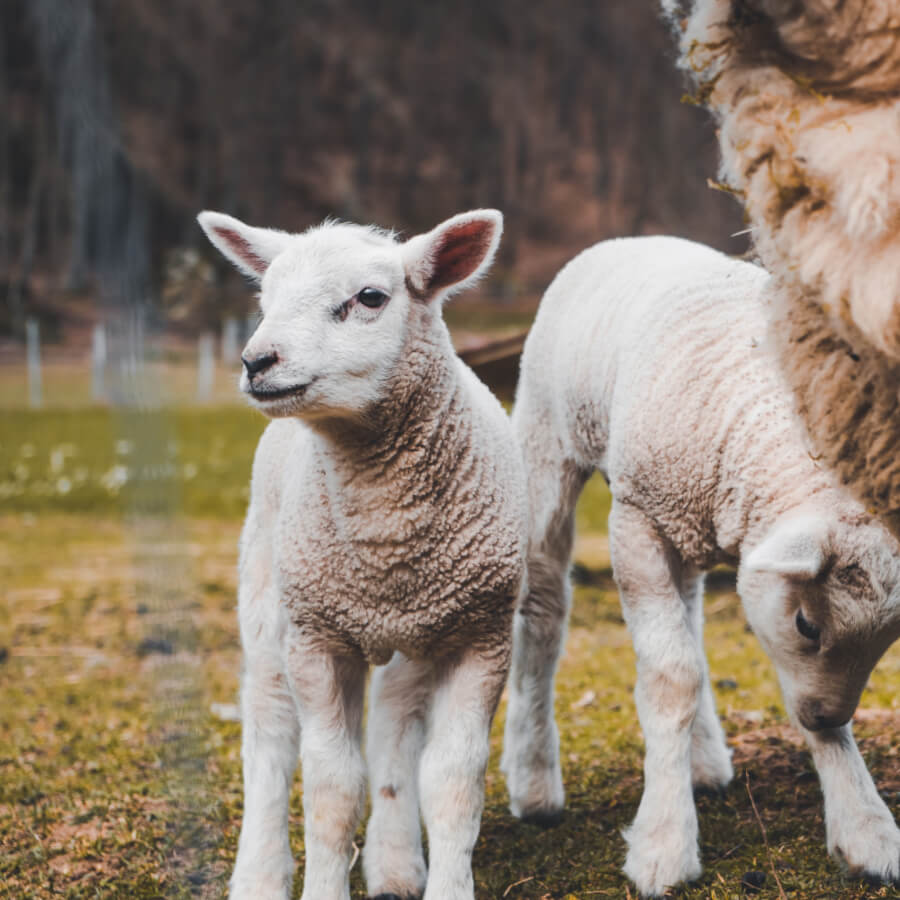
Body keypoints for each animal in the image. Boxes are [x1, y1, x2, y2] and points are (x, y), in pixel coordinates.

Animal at [197, 208, 527, 900]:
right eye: (265, 299)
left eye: (370, 298)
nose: (256, 360)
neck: (385, 537)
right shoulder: (317, 640)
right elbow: (331, 787)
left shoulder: (481, 635)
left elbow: (453, 782)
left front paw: (445, 883)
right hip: (269, 598)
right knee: (269, 732)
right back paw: (259, 874)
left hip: (416, 636)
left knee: (394, 729)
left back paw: (396, 865)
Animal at [501, 234, 900, 897]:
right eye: (807, 624)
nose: (825, 712)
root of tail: (628, 240)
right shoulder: (635, 522)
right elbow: (670, 677)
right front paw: (664, 844)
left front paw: (866, 828)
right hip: (546, 445)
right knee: (544, 608)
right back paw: (534, 783)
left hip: (679, 519)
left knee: (687, 614)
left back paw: (702, 760)